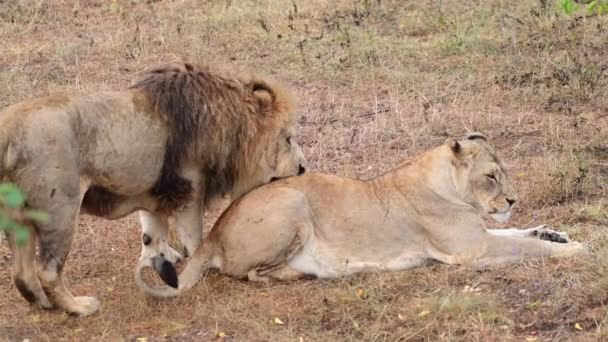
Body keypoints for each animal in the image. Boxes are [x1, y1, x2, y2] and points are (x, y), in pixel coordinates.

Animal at [0, 62, 304, 316]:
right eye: (287, 139)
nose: (303, 168)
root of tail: (8, 127)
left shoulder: (153, 193)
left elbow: (152, 234)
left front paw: (162, 260)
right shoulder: (190, 189)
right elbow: (194, 237)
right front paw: (198, 265)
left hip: (18, 217)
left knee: (22, 273)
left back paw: (41, 303)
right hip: (61, 210)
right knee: (47, 270)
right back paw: (79, 307)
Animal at [141, 132, 584, 298]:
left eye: (503, 172)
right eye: (491, 176)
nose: (512, 200)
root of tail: (214, 231)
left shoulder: (480, 237)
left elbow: (523, 235)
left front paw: (555, 234)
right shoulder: (471, 250)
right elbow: (526, 249)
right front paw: (576, 251)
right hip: (293, 203)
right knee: (251, 274)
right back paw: (314, 273)